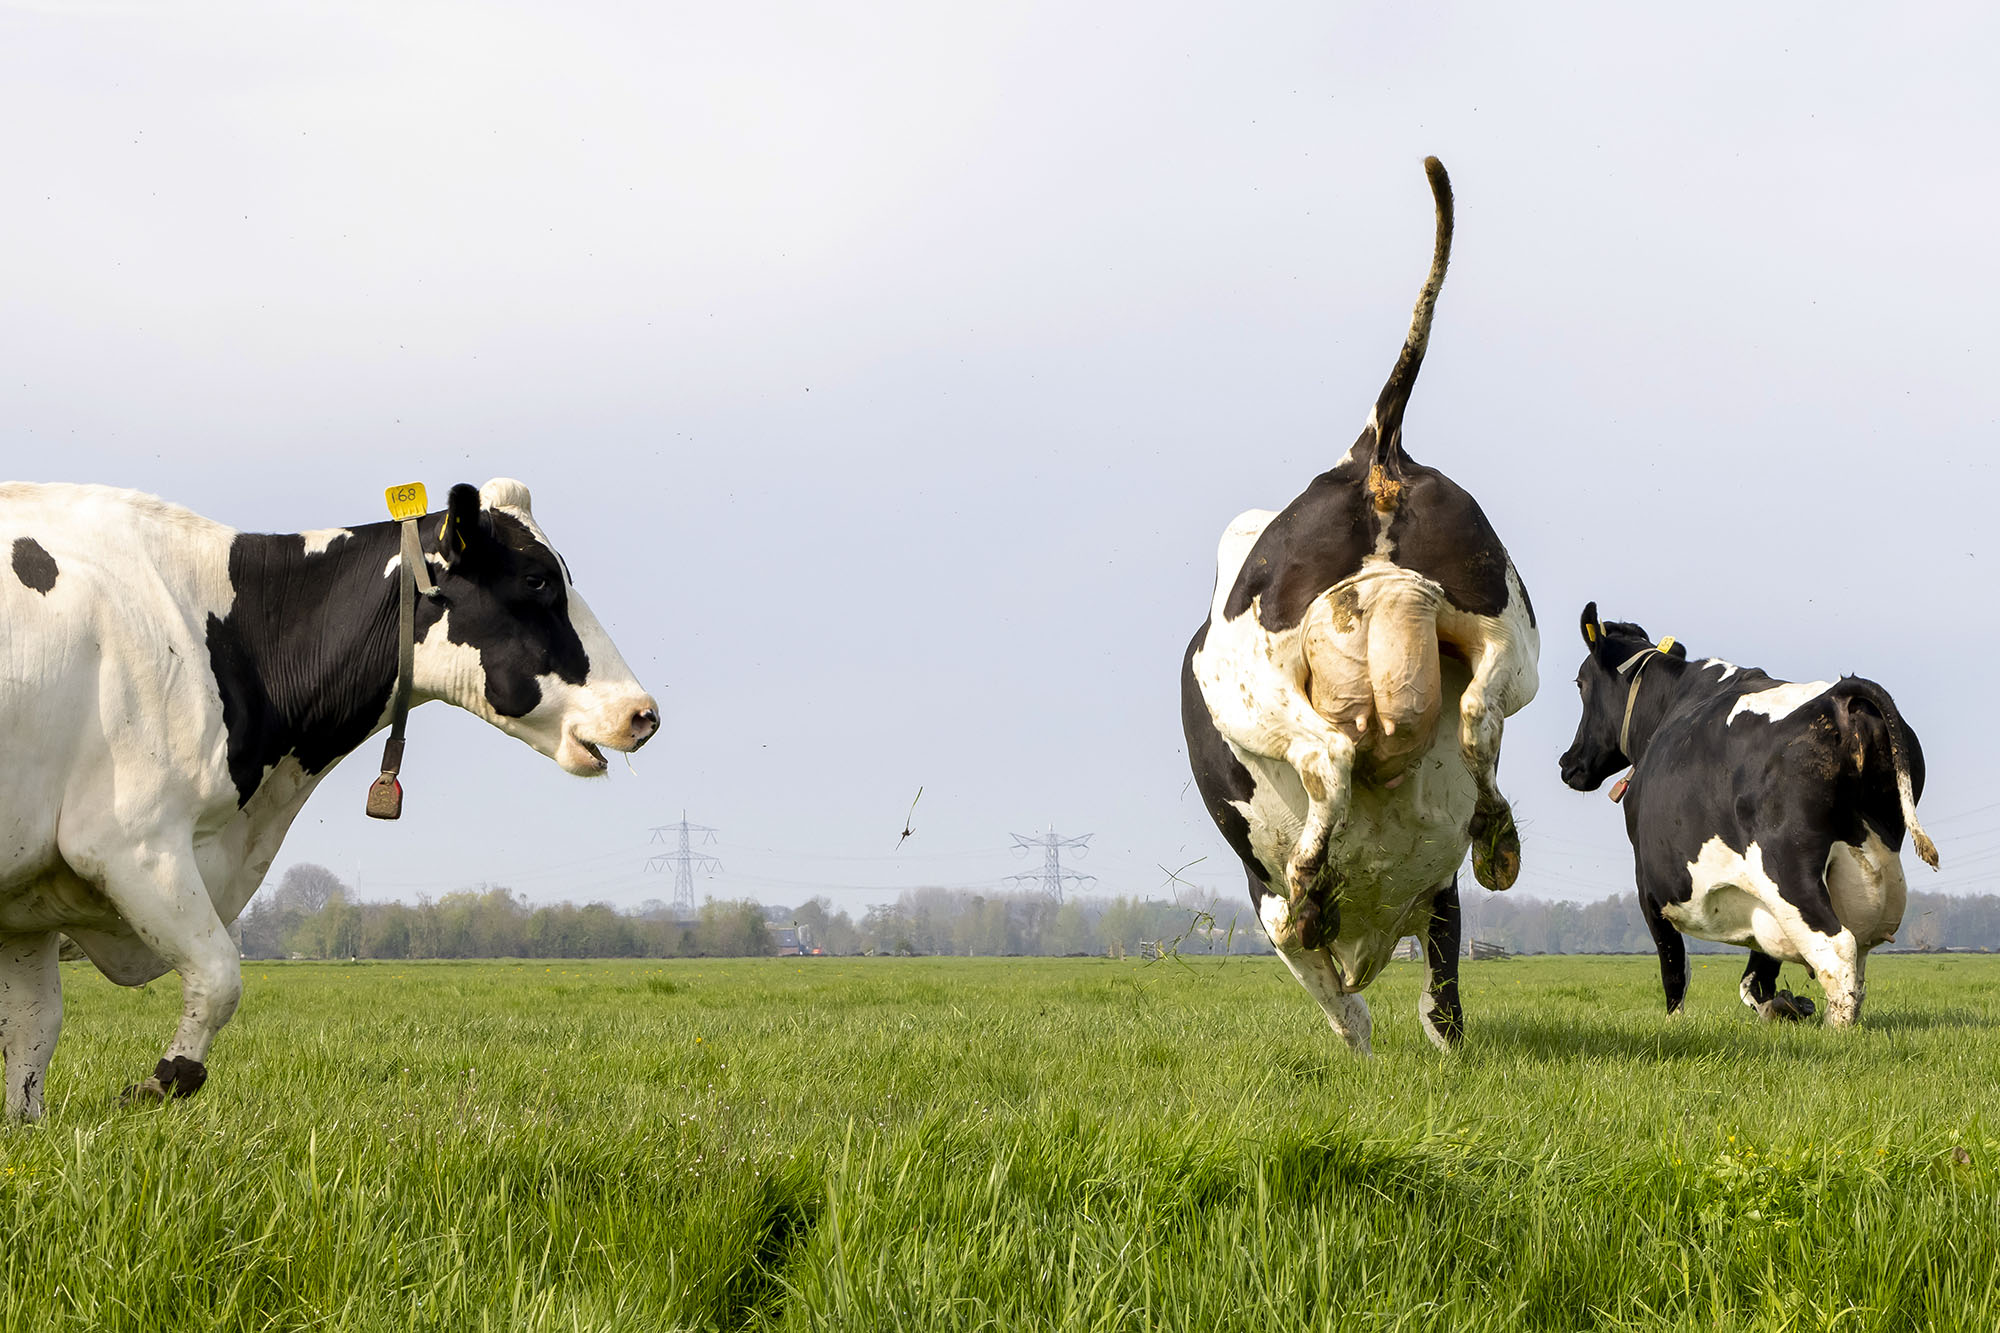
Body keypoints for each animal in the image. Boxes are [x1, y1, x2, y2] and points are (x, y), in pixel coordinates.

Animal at [0, 479, 658, 1121]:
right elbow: (219, 977)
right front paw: (160, 1083)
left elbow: (34, 1030)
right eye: (537, 580)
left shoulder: (28, 903)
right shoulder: (130, 841)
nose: (643, 713)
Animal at [1183, 157, 1539, 1054]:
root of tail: (1368, 452)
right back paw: (1498, 839)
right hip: (1505, 627)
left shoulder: (1268, 906)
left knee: (1328, 755)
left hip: (1251, 678)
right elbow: (1442, 1002)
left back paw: (1318, 874)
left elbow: (1331, 987)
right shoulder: (1441, 901)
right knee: (1480, 713)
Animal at [1558, 603, 1938, 1026]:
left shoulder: (1649, 885)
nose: (1568, 762)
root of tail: (1839, 694)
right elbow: (1758, 978)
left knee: (1837, 950)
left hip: (1785, 866)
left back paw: (1834, 1031)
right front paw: (1784, 1006)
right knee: (1856, 953)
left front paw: (1676, 1023)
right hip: (1872, 863)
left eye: (1580, 683)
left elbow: (1674, 967)